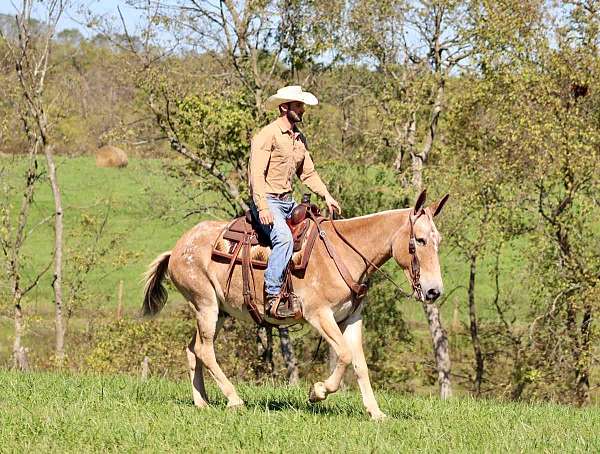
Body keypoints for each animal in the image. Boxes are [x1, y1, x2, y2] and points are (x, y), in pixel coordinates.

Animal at [143, 190, 448, 420]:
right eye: (420, 240)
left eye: (438, 241)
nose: (434, 291)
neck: (345, 253)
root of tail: (176, 249)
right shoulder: (319, 315)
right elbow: (344, 356)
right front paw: (318, 392)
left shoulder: (351, 318)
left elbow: (359, 363)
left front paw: (376, 413)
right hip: (206, 306)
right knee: (205, 351)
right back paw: (234, 399)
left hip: (218, 312)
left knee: (193, 348)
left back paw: (202, 402)